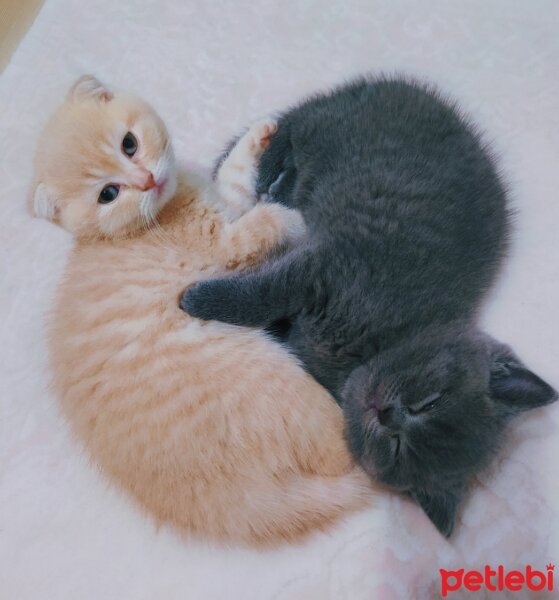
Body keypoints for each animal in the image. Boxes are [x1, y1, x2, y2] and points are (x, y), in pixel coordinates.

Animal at [30, 76, 372, 548]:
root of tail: (234, 507)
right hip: (279, 381)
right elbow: (264, 223)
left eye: (129, 144)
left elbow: (234, 178)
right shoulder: (224, 248)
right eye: (108, 195)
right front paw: (291, 216)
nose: (147, 180)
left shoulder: (225, 201)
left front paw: (259, 135)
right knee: (341, 454)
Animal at [182, 77, 556, 536]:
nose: (387, 414)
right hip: (334, 128)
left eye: (396, 448)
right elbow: (265, 292)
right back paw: (273, 168)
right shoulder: (328, 266)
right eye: (430, 401)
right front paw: (199, 299)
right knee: (294, 126)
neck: (375, 347)